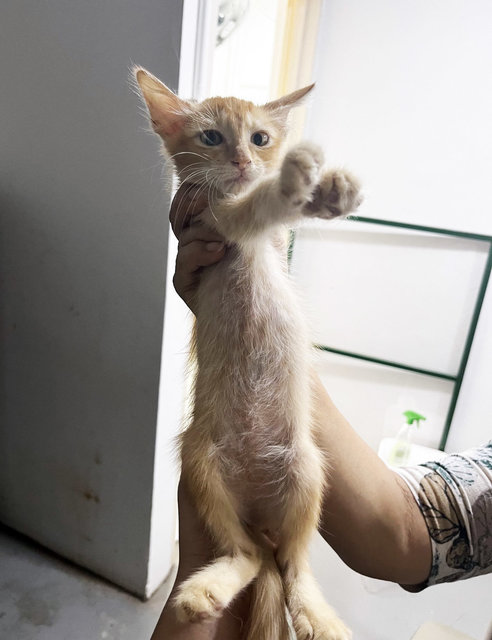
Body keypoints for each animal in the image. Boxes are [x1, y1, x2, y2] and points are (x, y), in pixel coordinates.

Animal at [136, 66, 360, 640]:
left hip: (307, 471)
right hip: (202, 467)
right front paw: (291, 184)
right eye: (212, 137)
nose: (242, 161)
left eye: (259, 138)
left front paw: (321, 189)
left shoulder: (257, 235)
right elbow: (255, 205)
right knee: (254, 555)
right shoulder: (222, 220)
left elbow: (264, 209)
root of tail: (258, 507)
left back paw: (317, 615)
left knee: (292, 560)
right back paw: (206, 589)